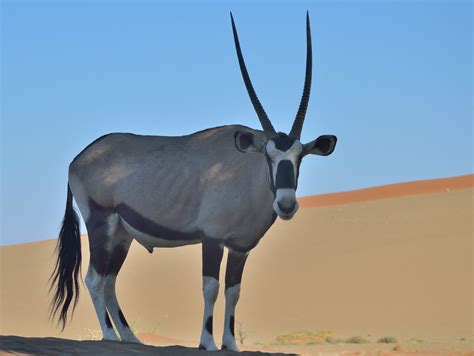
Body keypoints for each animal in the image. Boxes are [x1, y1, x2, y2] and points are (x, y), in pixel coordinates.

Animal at [50, 12, 336, 352]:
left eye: (300, 156)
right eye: (268, 155)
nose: (287, 204)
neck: (245, 173)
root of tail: (77, 159)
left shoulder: (241, 248)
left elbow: (233, 291)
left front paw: (231, 344)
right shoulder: (212, 239)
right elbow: (210, 287)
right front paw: (207, 342)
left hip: (121, 235)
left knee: (109, 281)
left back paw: (130, 337)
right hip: (100, 223)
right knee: (94, 278)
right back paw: (109, 335)